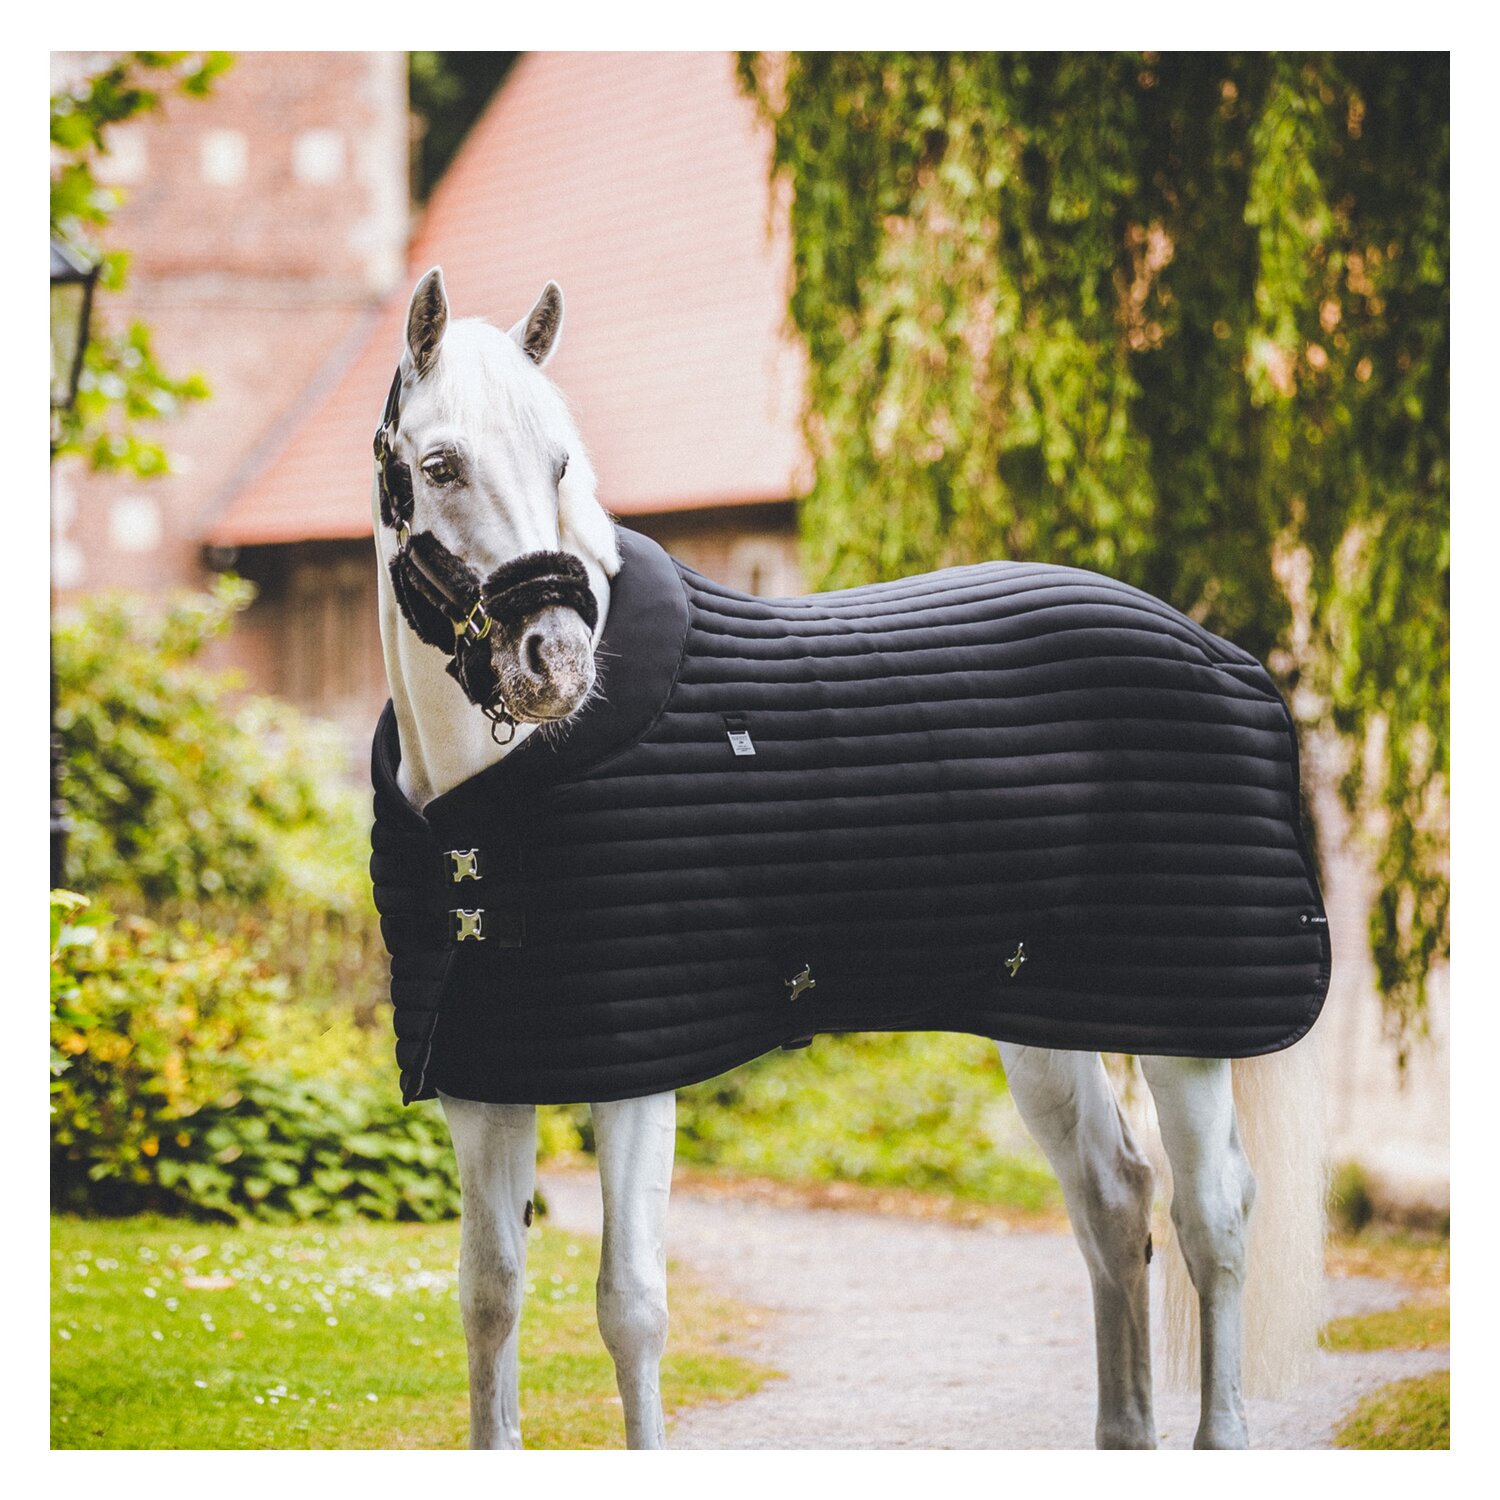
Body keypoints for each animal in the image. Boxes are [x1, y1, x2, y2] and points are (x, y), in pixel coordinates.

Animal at [370, 266, 1327, 1450]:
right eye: (439, 465)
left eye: (557, 462)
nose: (555, 661)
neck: (487, 812)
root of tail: (1232, 657)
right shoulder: (485, 1080)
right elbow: (489, 1295)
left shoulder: (637, 1074)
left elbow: (629, 1307)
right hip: (1048, 1018)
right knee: (1114, 1201)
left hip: (1185, 1032)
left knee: (1214, 1220)